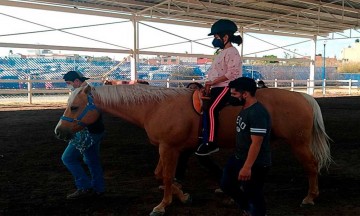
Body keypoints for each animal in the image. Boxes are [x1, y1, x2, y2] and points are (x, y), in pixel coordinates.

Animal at [54, 84, 332, 216]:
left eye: (75, 107)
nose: (59, 131)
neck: (155, 106)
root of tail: (304, 97)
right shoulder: (172, 148)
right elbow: (162, 175)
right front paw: (182, 196)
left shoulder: (168, 148)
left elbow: (167, 176)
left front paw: (163, 205)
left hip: (298, 143)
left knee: (311, 166)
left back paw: (310, 197)